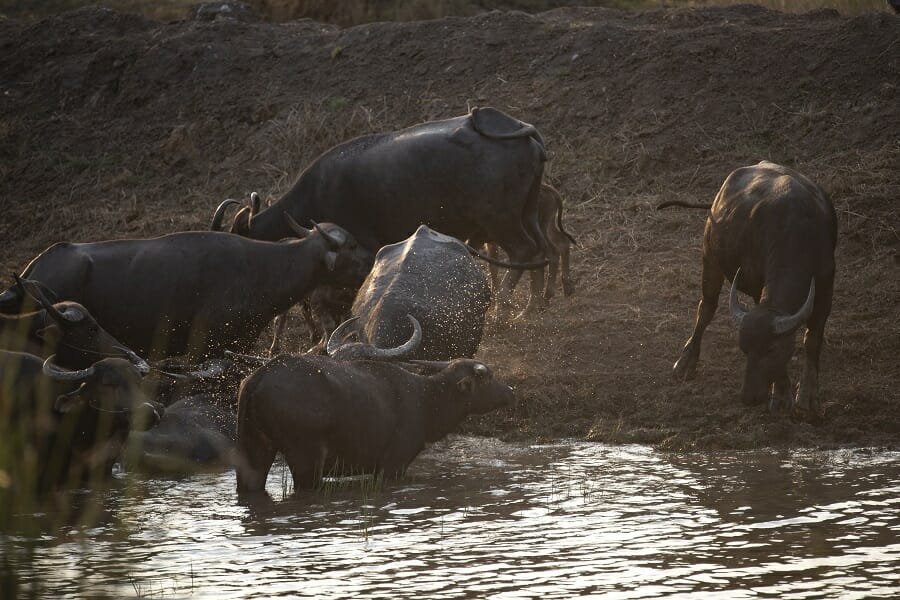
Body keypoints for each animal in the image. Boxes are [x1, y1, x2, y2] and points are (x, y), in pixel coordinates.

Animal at [213, 108, 548, 324]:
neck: (316, 192)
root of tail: (522, 129)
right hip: (529, 211)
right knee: (541, 249)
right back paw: (531, 308)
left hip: (500, 218)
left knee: (524, 250)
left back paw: (502, 311)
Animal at [234, 356, 512, 492]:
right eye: (488, 377)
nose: (510, 391)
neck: (426, 402)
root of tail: (258, 377)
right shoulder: (393, 465)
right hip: (307, 458)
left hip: (255, 449)